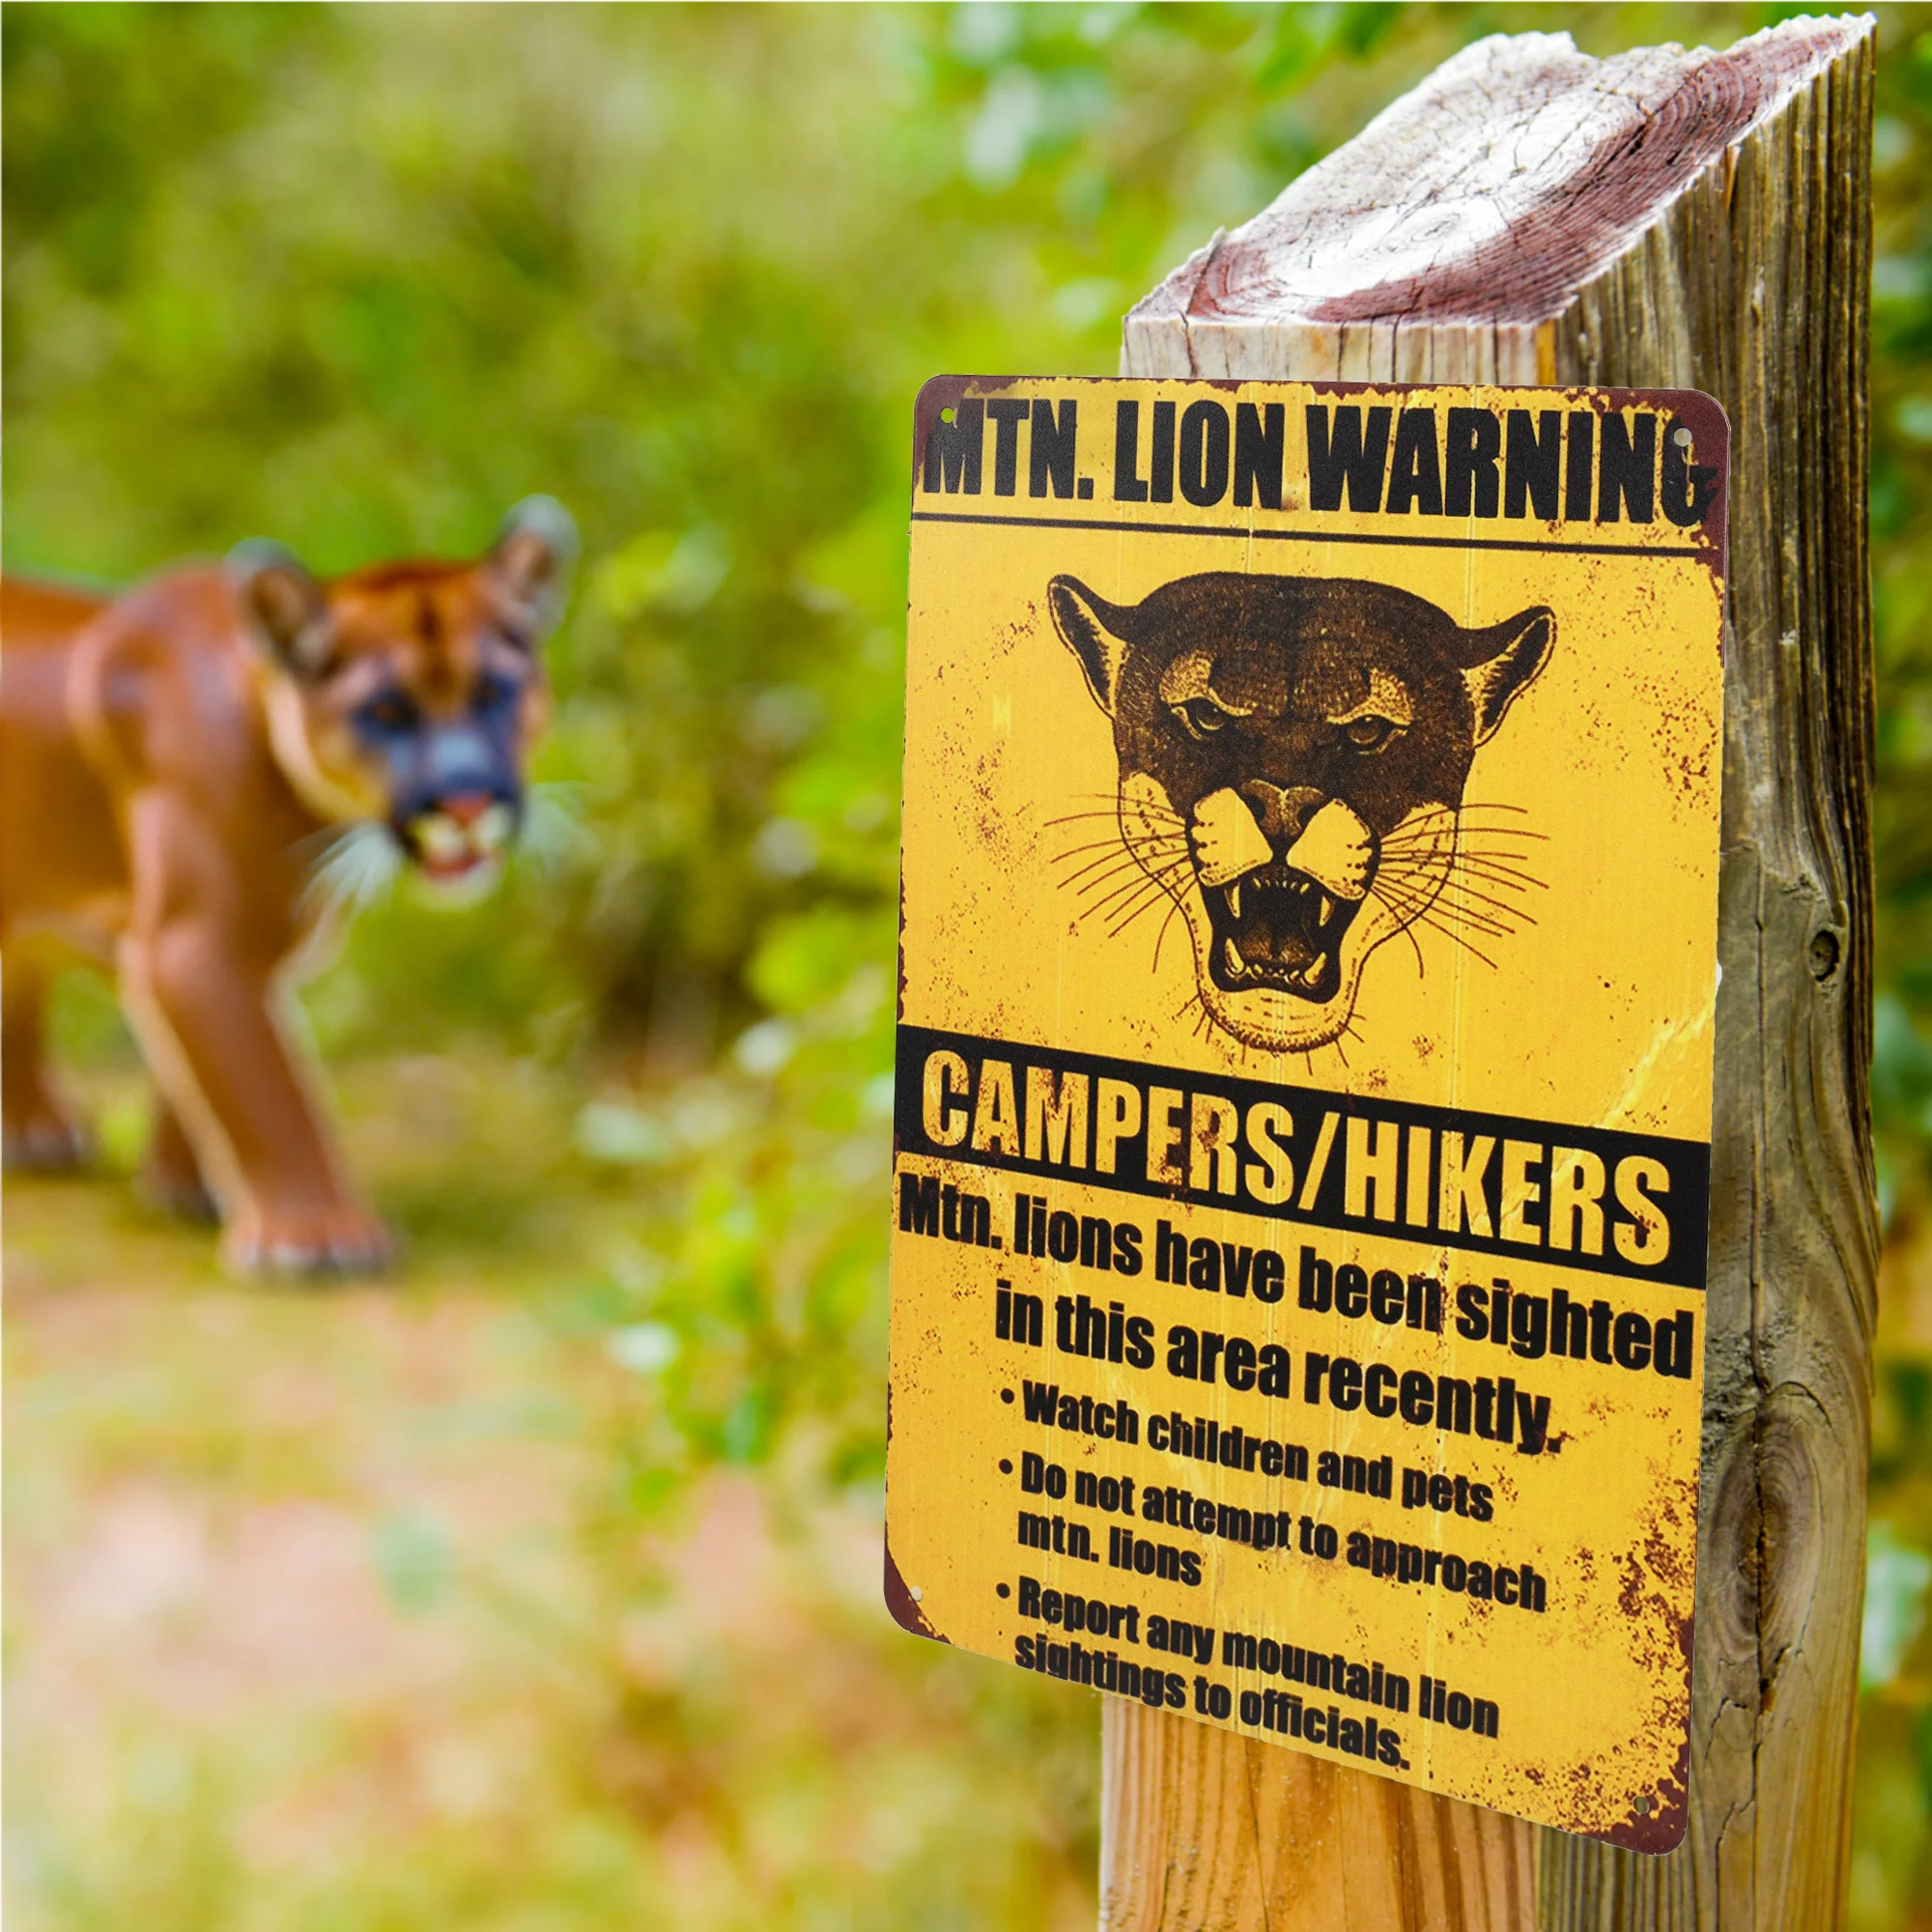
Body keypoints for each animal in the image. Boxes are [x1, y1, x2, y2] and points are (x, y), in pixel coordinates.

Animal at [0, 499, 576, 1273]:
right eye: (386, 711)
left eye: (493, 692)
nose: (465, 802)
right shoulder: (197, 946)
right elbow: (263, 1086)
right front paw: (314, 1235)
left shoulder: (251, 941)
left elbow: (195, 1071)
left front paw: (188, 1188)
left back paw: (30, 1131)